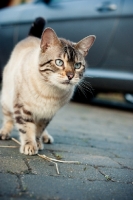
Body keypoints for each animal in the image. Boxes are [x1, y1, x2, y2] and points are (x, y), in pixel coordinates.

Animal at [0, 19, 95, 155]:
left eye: (77, 65)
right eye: (59, 62)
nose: (70, 76)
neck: (50, 89)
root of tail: (31, 37)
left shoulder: (47, 114)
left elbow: (38, 130)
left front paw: (37, 142)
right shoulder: (22, 107)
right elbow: (26, 128)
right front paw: (30, 146)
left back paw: (45, 138)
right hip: (6, 100)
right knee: (8, 118)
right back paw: (4, 133)